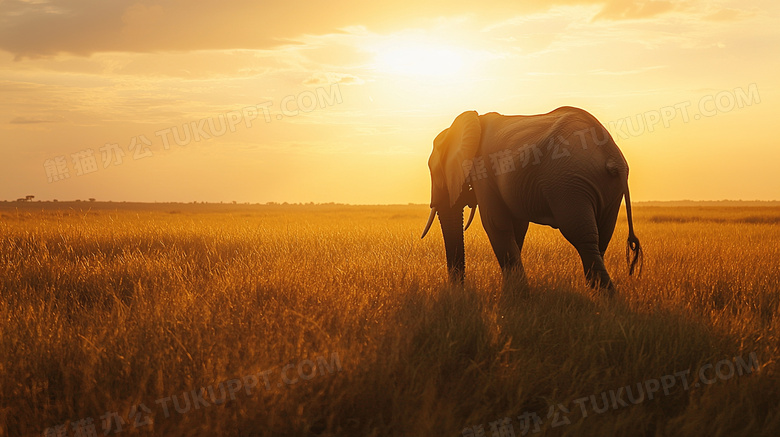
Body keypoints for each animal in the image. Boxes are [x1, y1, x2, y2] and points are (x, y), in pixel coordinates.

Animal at [424, 104, 644, 292]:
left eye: (435, 172)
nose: (458, 289)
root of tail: (612, 157)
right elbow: (517, 227)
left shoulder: (485, 169)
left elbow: (495, 223)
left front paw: (516, 294)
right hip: (607, 191)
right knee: (600, 238)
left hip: (568, 183)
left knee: (582, 236)